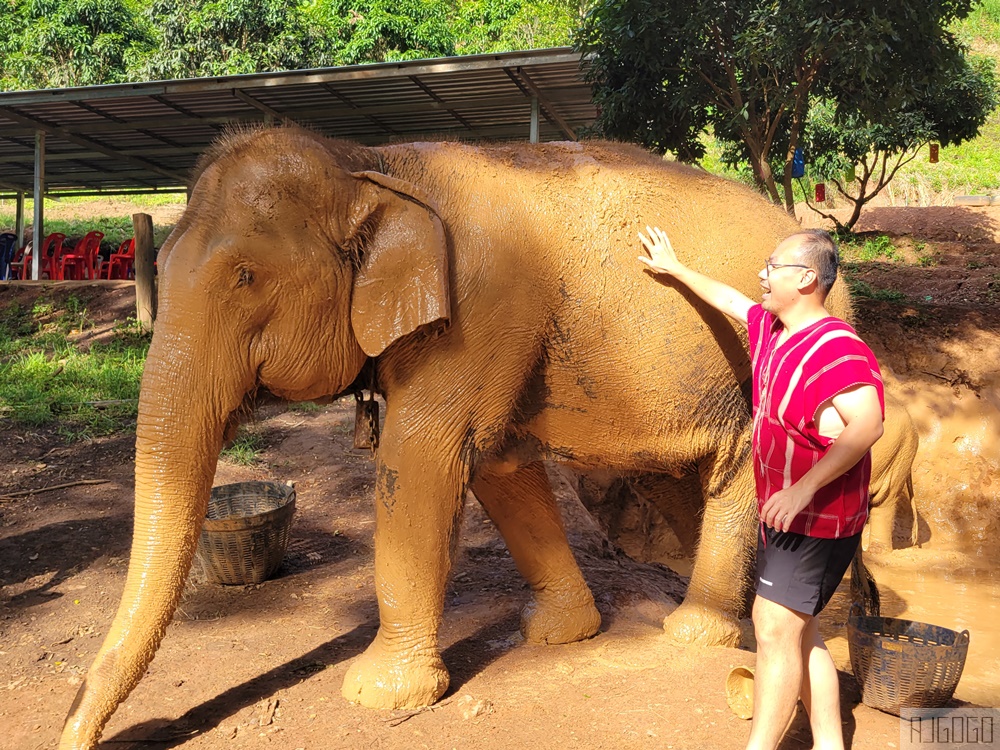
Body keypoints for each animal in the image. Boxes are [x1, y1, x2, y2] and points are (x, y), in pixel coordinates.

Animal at [60, 126, 854, 749]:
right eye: (159, 267)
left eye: (245, 276)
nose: (75, 735)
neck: (371, 163)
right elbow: (498, 464)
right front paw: (560, 632)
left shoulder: (480, 313)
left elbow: (422, 460)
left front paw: (379, 694)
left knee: (739, 474)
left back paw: (696, 632)